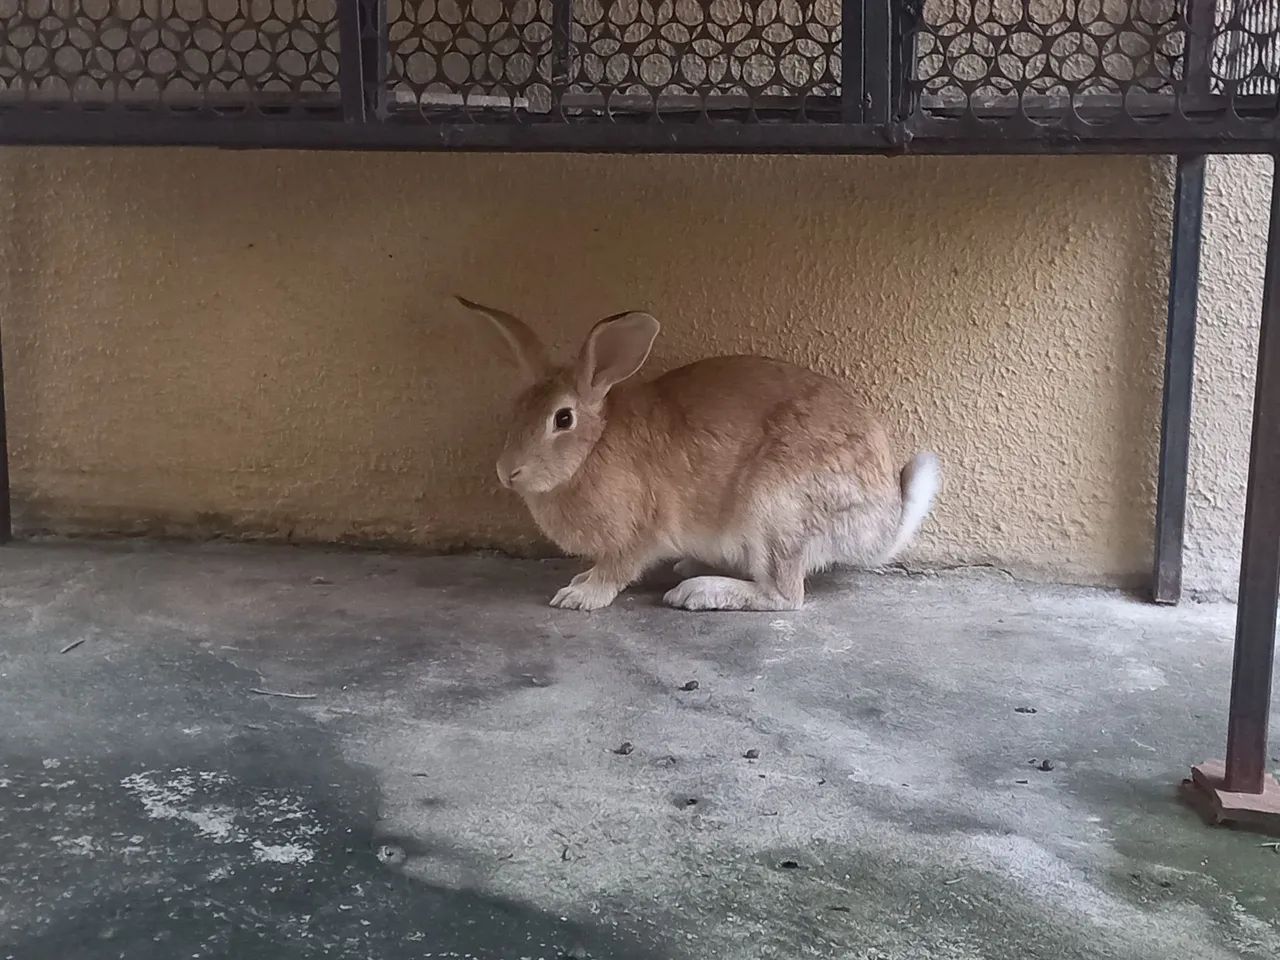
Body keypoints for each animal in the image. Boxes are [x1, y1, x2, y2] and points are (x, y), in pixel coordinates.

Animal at [455, 297, 940, 612]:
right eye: (516, 409)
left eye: (562, 419)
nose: (507, 472)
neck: (591, 449)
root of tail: (879, 527)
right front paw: (578, 581)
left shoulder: (638, 533)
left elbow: (617, 569)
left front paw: (579, 596)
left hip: (777, 509)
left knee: (785, 595)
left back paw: (698, 592)